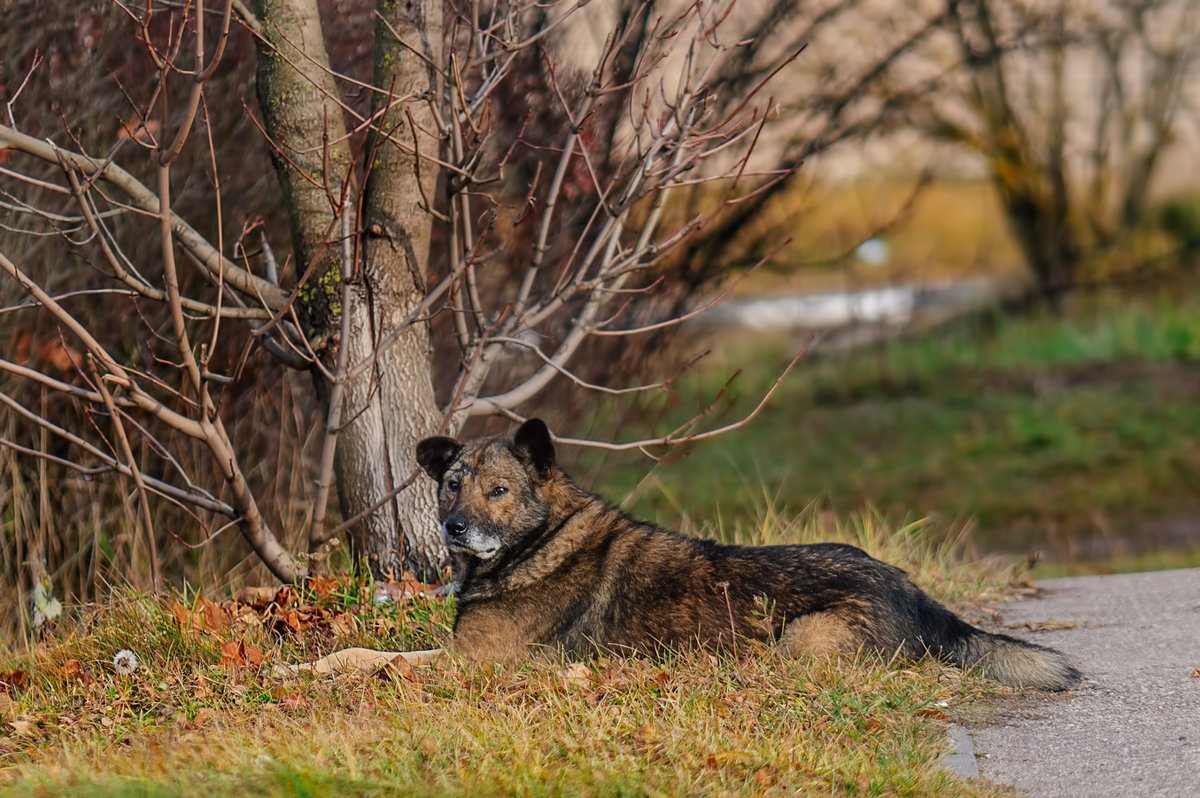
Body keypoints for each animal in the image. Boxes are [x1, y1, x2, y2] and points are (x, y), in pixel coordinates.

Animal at [417, 417, 1084, 691]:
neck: (541, 540)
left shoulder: (477, 659)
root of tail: (917, 593)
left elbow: (393, 659)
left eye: (498, 491)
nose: (453, 527)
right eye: (451, 484)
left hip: (802, 644)